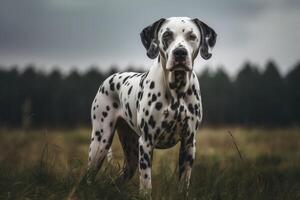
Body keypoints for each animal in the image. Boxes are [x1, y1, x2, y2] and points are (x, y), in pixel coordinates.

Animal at [86, 16, 216, 195]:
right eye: (167, 35)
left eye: (192, 36)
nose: (180, 53)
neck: (176, 90)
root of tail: (109, 78)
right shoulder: (146, 143)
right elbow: (146, 183)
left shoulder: (189, 143)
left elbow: (184, 182)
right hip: (100, 143)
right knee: (88, 176)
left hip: (131, 155)